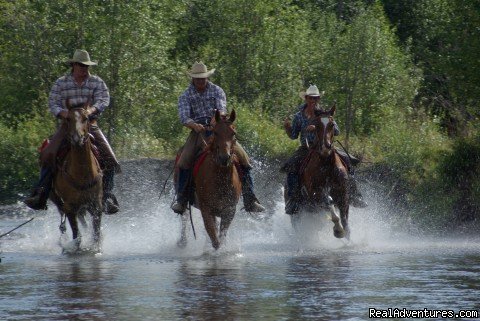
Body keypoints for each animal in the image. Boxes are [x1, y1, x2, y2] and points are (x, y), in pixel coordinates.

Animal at [49, 100, 104, 252]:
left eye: (86, 118)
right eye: (68, 119)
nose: (76, 138)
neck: (82, 174)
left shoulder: (96, 205)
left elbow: (96, 235)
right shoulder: (70, 207)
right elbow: (77, 235)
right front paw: (71, 248)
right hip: (60, 202)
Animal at [178, 109, 242, 249]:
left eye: (233, 133)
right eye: (216, 132)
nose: (224, 158)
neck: (220, 179)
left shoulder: (229, 210)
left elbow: (221, 236)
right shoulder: (206, 209)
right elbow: (215, 239)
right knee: (184, 218)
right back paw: (182, 242)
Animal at [294, 105, 350, 240]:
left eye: (332, 124)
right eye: (316, 125)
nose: (326, 147)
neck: (326, 165)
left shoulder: (343, 193)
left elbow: (345, 220)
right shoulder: (317, 193)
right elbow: (330, 205)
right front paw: (338, 230)